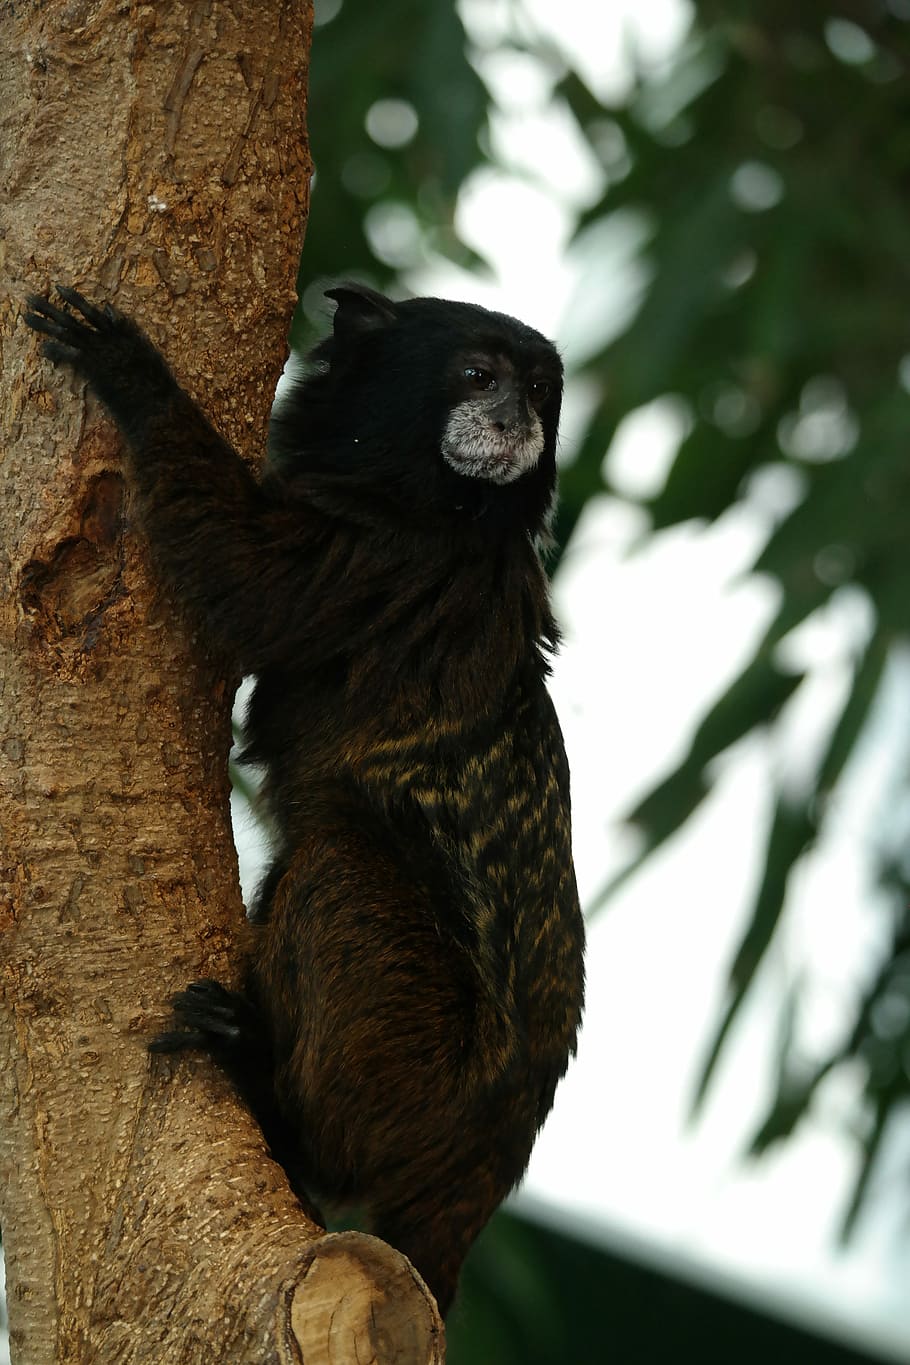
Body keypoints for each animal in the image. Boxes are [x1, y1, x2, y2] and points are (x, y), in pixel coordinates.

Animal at [23, 282, 585, 1315]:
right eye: (479, 375)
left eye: (539, 390)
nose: (516, 420)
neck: (447, 507)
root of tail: (485, 1160)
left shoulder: (392, 559)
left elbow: (250, 583)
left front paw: (133, 376)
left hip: (424, 1067)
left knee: (335, 868)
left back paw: (265, 1083)